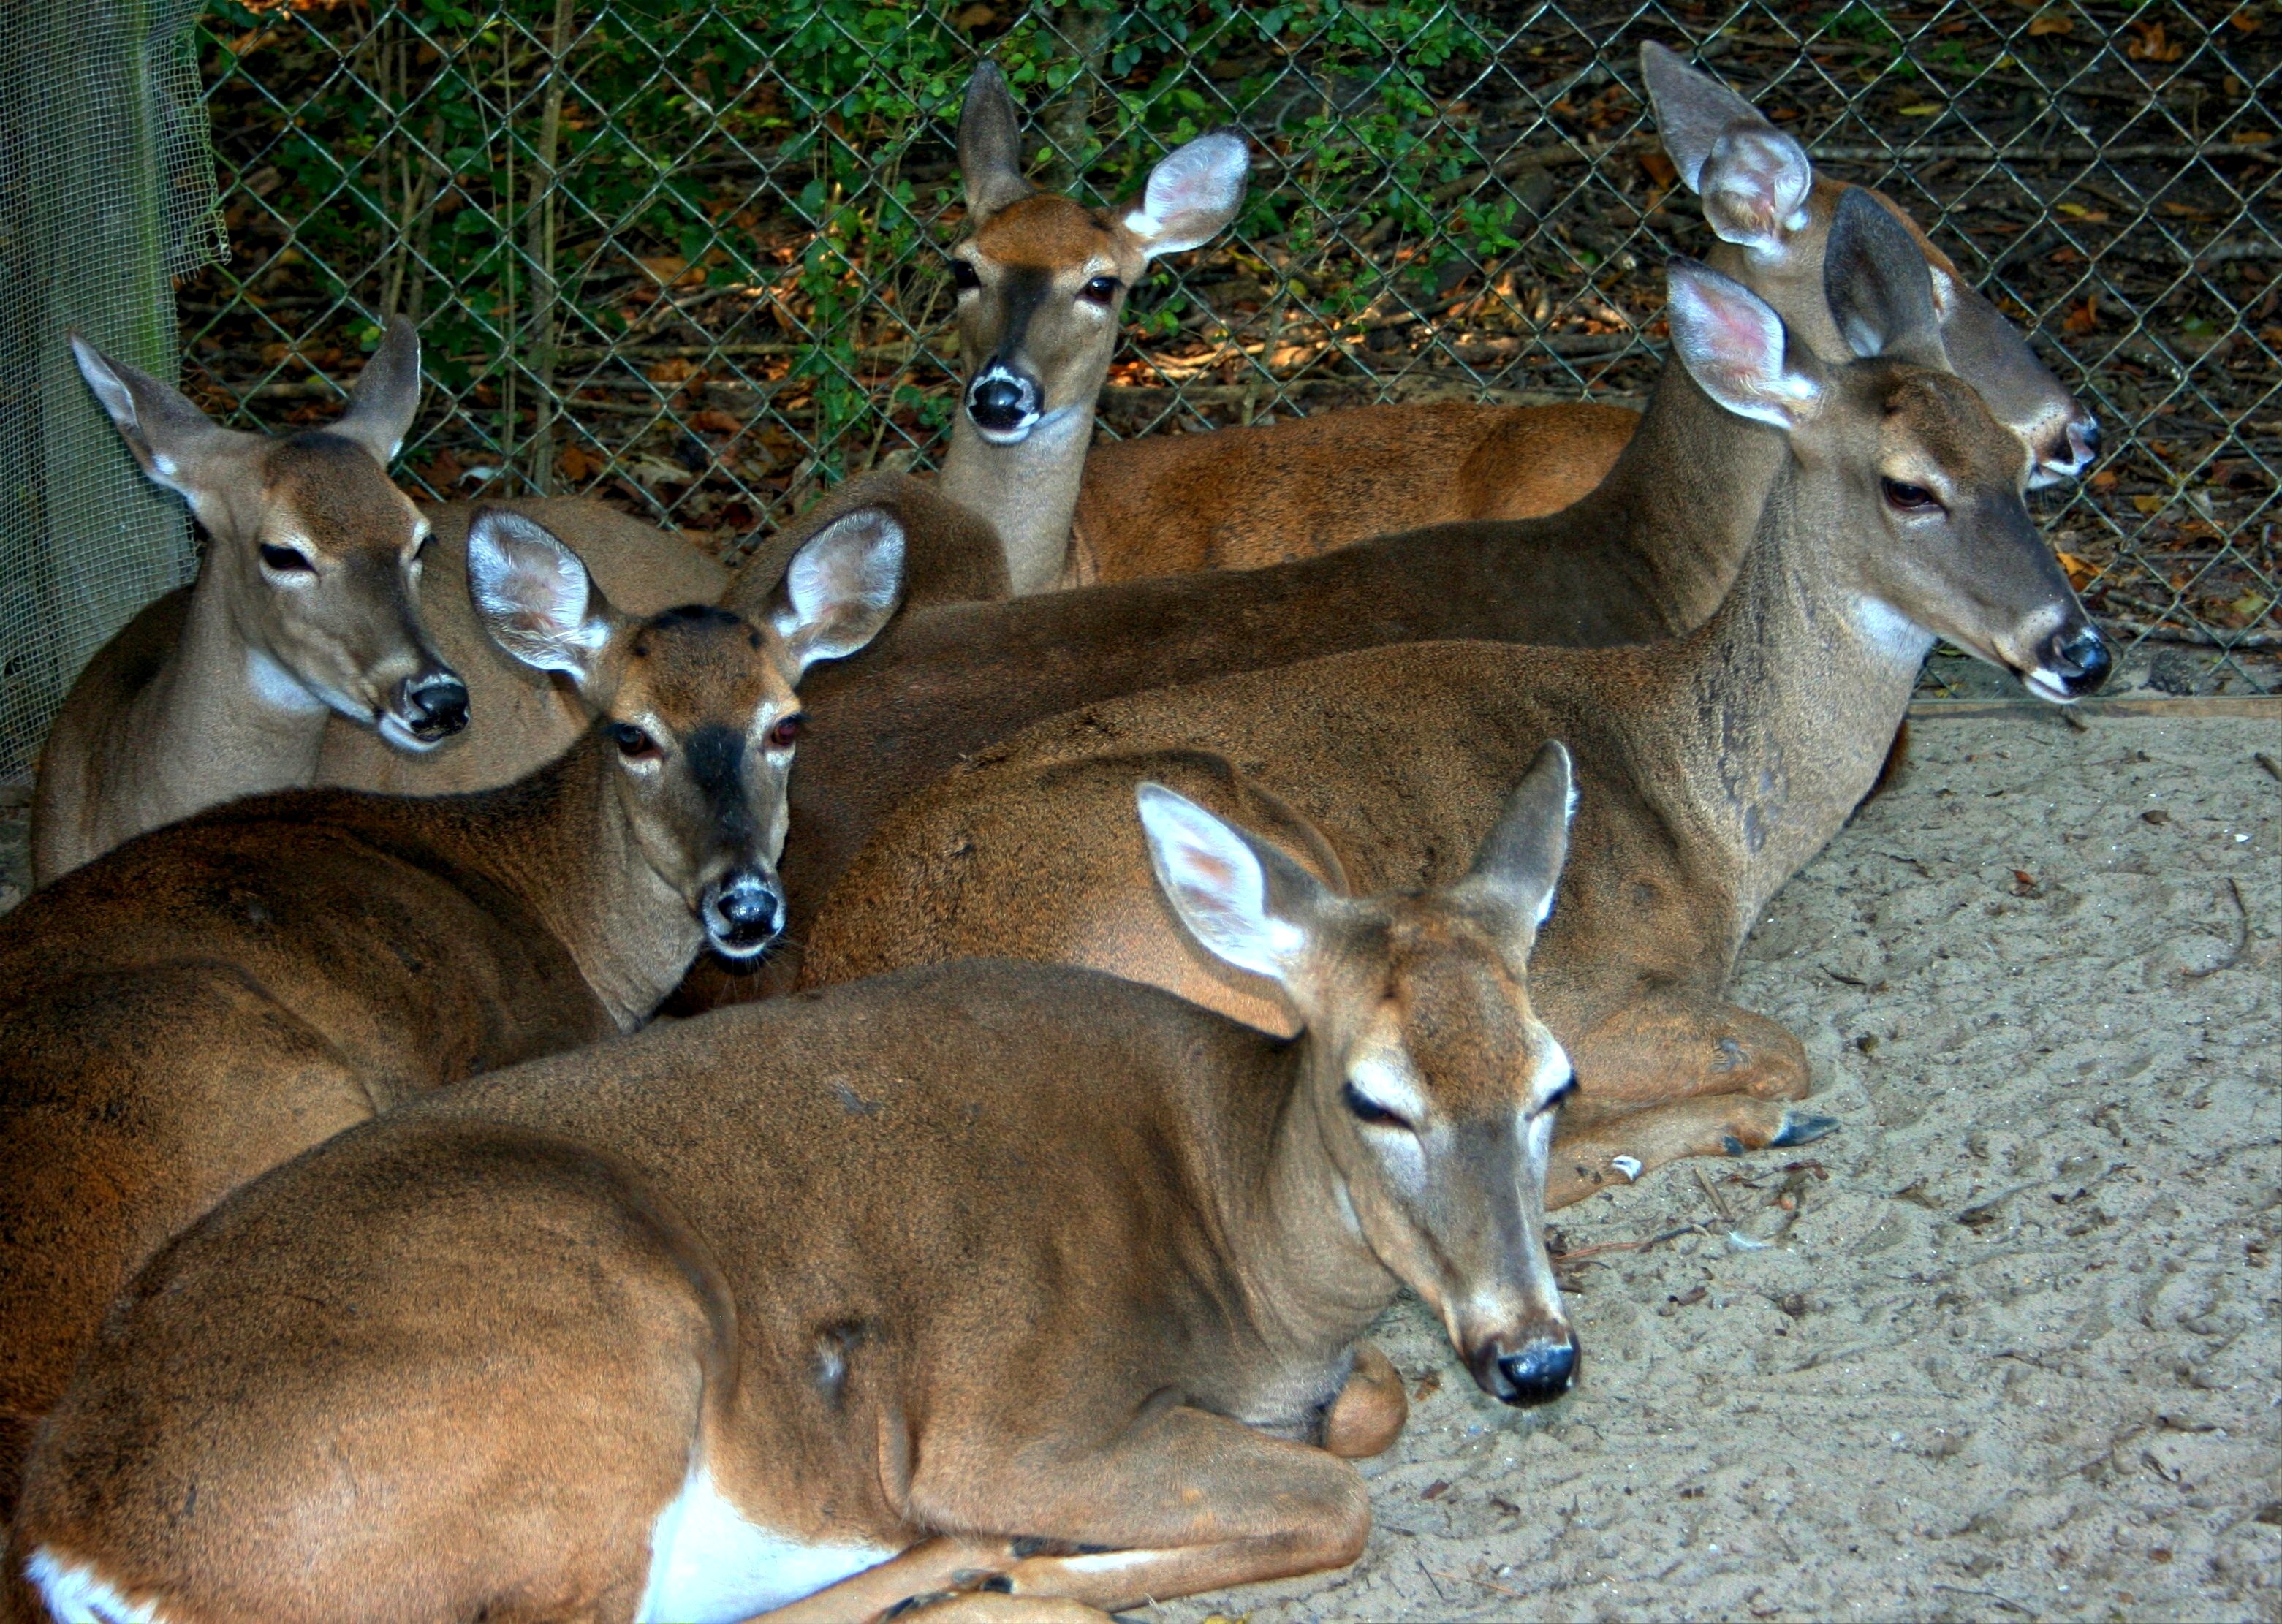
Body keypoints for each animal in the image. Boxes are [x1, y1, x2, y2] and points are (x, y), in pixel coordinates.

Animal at [4, 743, 1606, 1614]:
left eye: (1554, 1081)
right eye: (1371, 1096)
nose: (1534, 1358)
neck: (1239, 1234)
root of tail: (77, 1542)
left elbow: (1364, 1420)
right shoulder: (1015, 1409)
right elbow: (1334, 1503)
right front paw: (1036, 1563)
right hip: (599, 1333)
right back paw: (974, 1571)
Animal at [798, 190, 2099, 1204]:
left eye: (2011, 465)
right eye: (1908, 488)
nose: (2076, 646)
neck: (1711, 807)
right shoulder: (1588, 985)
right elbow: (1780, 1049)